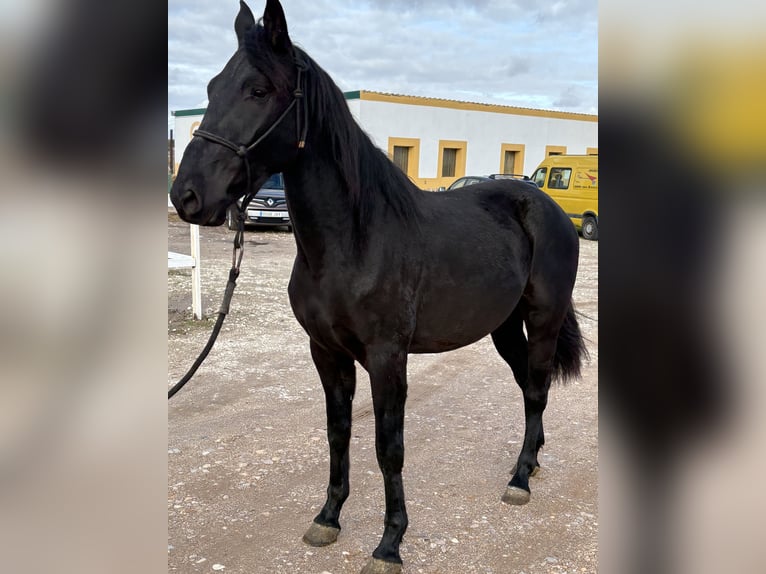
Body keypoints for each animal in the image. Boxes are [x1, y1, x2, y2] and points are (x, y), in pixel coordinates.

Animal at [170, 1, 587, 572]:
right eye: (211, 89)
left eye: (257, 89)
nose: (186, 196)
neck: (355, 239)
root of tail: (548, 207)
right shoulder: (326, 352)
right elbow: (338, 433)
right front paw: (328, 518)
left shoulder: (389, 357)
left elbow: (389, 447)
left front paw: (390, 544)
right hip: (503, 328)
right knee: (527, 387)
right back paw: (532, 463)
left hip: (543, 319)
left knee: (539, 389)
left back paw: (520, 479)